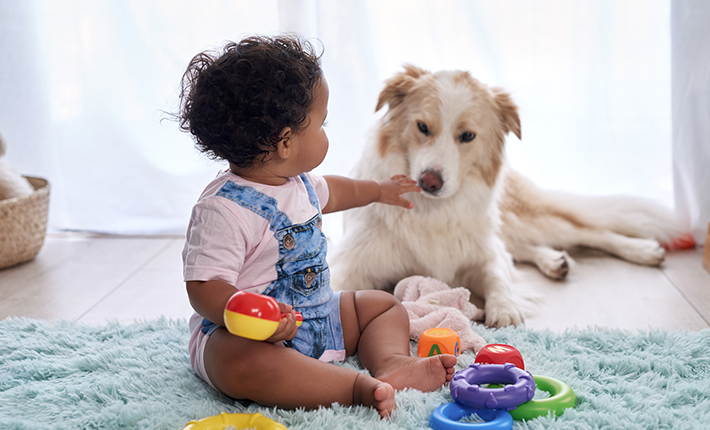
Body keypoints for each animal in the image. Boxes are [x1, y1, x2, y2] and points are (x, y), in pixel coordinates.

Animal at [330, 63, 688, 328]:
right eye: (422, 127)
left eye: (467, 136)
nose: (430, 182)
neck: (435, 211)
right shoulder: (352, 264)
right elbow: (336, 288)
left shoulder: (483, 253)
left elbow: (497, 275)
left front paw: (504, 308)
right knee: (524, 247)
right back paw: (555, 262)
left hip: (525, 220)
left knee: (591, 232)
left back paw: (642, 250)